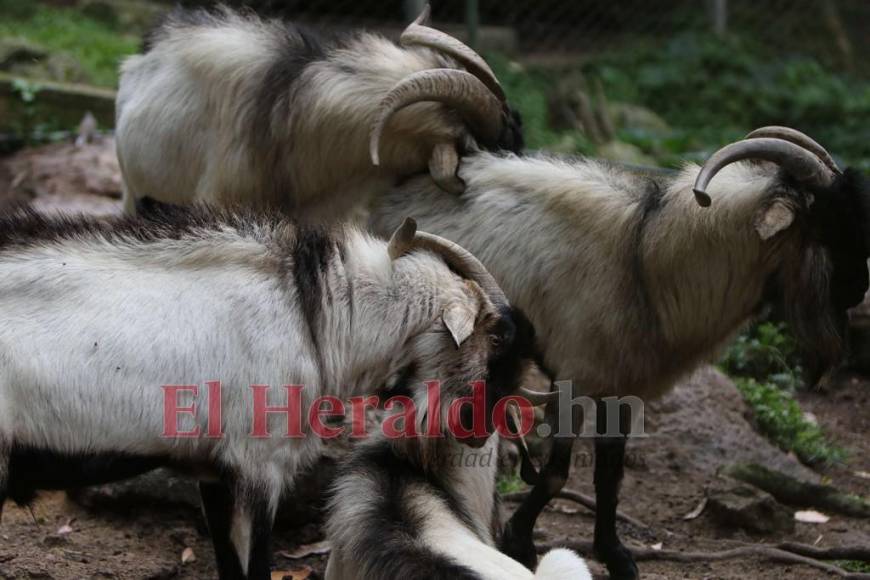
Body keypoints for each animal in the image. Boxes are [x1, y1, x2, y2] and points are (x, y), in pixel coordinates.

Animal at [368, 78, 870, 580]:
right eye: (827, 222)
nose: (859, 292)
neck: (646, 259)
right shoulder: (574, 377)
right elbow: (557, 473)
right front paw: (519, 542)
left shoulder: (625, 383)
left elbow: (610, 476)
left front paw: (617, 556)